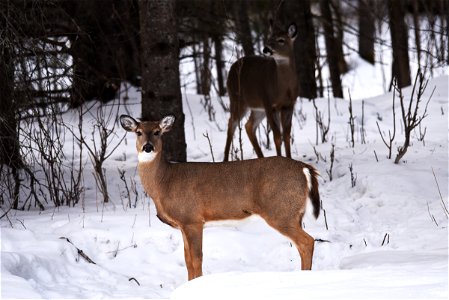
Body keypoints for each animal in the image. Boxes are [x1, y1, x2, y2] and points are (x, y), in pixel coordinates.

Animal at [121, 113, 320, 280]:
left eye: (157, 132)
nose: (147, 147)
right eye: (138, 132)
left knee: (307, 241)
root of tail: (304, 168)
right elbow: (187, 260)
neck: (165, 182)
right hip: (293, 213)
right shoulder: (183, 224)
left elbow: (196, 259)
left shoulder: (192, 219)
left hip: (281, 211)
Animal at [223, 21, 298, 162]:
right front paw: (280, 160)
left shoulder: (289, 105)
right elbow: (277, 136)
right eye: (269, 38)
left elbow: (286, 135)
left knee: (248, 125)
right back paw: (224, 160)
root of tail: (231, 68)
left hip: (258, 108)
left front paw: (289, 160)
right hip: (237, 99)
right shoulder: (269, 103)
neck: (283, 88)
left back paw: (261, 158)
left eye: (281, 40)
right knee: (232, 123)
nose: (266, 49)